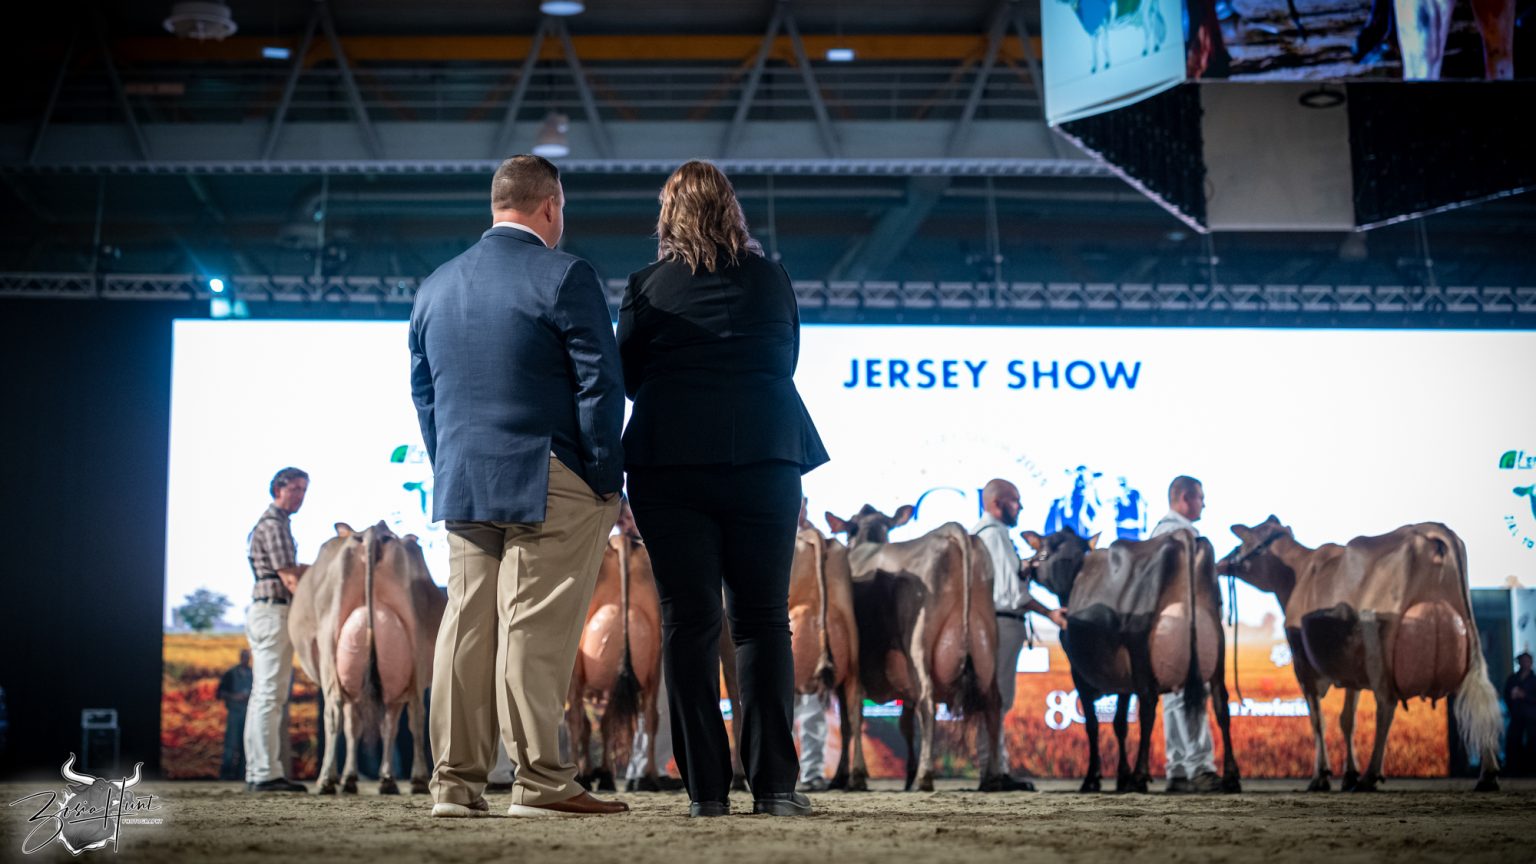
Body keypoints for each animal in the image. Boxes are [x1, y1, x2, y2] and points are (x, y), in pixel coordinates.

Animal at [289, 521, 445, 795]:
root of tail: (373, 531)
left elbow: (354, 727)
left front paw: (350, 777)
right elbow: (383, 726)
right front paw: (379, 777)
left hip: (330, 646)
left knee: (335, 713)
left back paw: (327, 779)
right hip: (413, 653)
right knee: (415, 715)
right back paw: (413, 779)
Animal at [566, 522, 663, 792]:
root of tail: (621, 541)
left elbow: (582, 724)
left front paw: (589, 772)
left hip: (577, 665)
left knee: (577, 717)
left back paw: (584, 777)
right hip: (654, 658)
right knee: (649, 716)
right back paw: (647, 777)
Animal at [826, 504, 1005, 793]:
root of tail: (951, 530)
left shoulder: (850, 674)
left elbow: (849, 722)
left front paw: (847, 776)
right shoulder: (903, 683)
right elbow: (904, 724)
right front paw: (906, 774)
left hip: (919, 644)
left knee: (928, 704)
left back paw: (925, 775)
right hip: (987, 644)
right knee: (994, 705)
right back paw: (993, 777)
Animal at [1023, 527, 1240, 794]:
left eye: (1042, 553)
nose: (1027, 567)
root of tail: (1180, 536)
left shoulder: (1080, 674)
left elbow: (1093, 725)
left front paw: (1093, 778)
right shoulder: (1123, 677)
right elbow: (1120, 724)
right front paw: (1121, 776)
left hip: (1141, 650)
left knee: (1147, 708)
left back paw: (1140, 775)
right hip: (1217, 646)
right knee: (1222, 707)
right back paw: (1231, 777)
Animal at [1220, 516, 1502, 792]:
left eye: (1243, 543)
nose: (1221, 563)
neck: (1299, 573)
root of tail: (1433, 529)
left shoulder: (1302, 663)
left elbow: (1317, 720)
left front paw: (1322, 776)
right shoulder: (1350, 667)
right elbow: (1347, 719)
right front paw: (1349, 774)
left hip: (1381, 648)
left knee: (1386, 705)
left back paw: (1370, 775)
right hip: (1467, 642)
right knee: (1480, 700)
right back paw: (1487, 775)